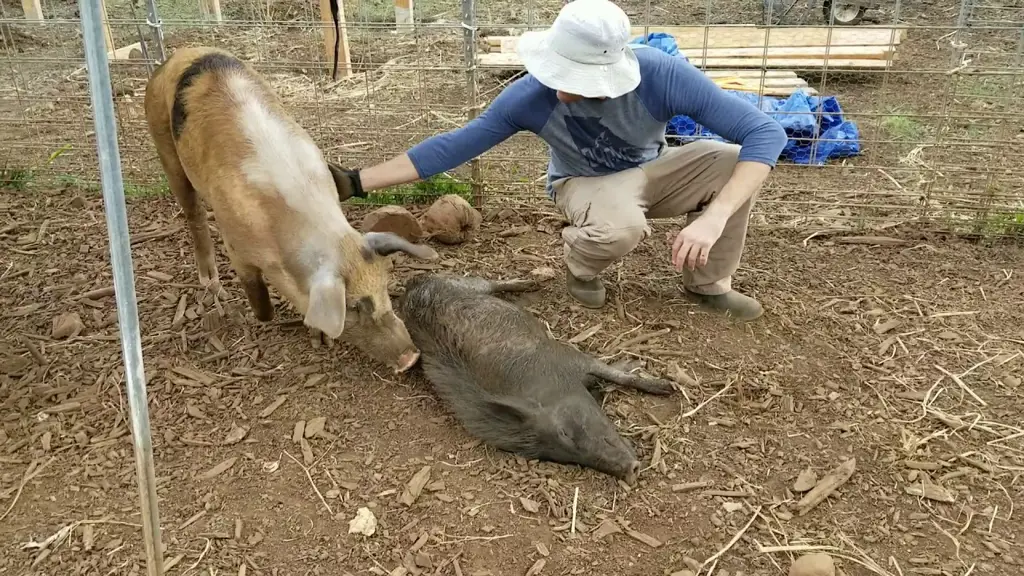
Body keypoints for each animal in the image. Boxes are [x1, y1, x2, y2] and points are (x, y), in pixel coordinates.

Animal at [399, 272, 679, 483]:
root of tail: (410, 287)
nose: (631, 470)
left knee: (487, 281)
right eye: (559, 455)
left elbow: (615, 373)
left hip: (462, 283)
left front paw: (667, 387)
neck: (549, 387)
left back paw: (532, 282)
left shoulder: (568, 355)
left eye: (565, 432)